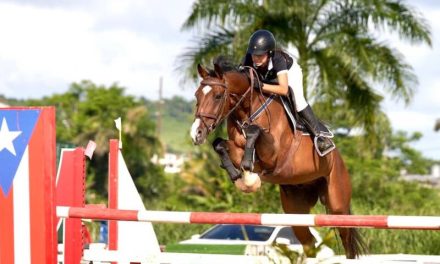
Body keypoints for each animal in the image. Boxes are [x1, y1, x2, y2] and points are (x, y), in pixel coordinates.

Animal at [191, 60, 366, 258]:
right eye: (197, 95)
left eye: (218, 96)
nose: (197, 133)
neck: (248, 109)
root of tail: (339, 160)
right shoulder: (236, 148)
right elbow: (219, 144)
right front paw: (238, 177)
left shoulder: (274, 156)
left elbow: (254, 132)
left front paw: (248, 174)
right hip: (295, 210)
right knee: (308, 242)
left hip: (338, 205)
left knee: (347, 239)